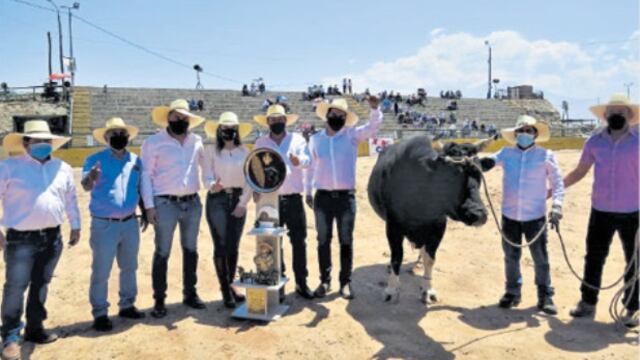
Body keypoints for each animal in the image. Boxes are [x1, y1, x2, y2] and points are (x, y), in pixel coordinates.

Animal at [364, 136, 490, 302]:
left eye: (479, 174)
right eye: (450, 175)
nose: (478, 214)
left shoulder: (438, 226)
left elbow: (430, 259)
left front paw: (427, 289)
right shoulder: (393, 226)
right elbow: (396, 257)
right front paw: (391, 289)